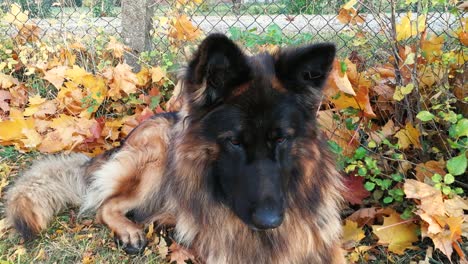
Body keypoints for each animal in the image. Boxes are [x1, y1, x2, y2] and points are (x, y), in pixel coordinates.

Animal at [5, 34, 346, 262]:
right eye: (234, 141)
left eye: (281, 139)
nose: (270, 221)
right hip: (156, 156)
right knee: (106, 205)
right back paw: (130, 230)